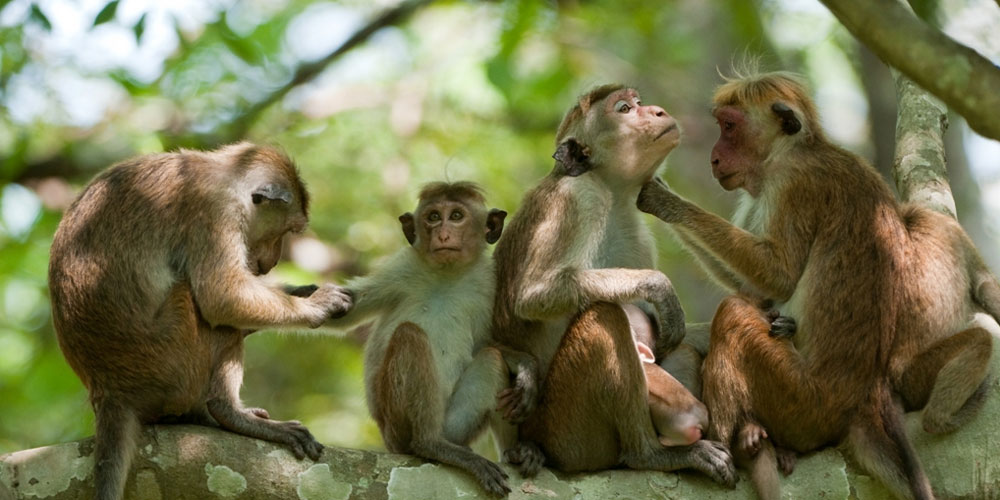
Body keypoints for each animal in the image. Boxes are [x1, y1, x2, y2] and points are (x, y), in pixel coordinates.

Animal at [47, 142, 353, 500]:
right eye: (286, 230)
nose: (272, 261)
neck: (223, 174)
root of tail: (109, 391)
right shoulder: (214, 214)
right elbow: (222, 297)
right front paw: (316, 305)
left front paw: (299, 292)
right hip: (172, 362)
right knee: (203, 307)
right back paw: (227, 412)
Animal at [323, 181, 535, 496]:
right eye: (433, 217)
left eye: (456, 215)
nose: (443, 234)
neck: (447, 274)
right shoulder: (400, 268)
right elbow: (343, 311)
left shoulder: (489, 282)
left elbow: (486, 344)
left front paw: (526, 368)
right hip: (396, 428)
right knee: (409, 335)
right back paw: (429, 444)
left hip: (455, 426)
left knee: (491, 360)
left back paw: (513, 453)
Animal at [491, 84, 736, 487]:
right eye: (624, 109)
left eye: (639, 103)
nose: (657, 111)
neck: (610, 191)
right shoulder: (575, 200)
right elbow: (534, 295)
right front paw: (659, 287)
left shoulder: (635, 231)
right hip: (567, 433)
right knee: (603, 318)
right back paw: (649, 455)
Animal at [637, 71, 1000, 500]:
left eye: (729, 126)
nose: (714, 157)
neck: (794, 150)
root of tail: (862, 400)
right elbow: (756, 289)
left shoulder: (793, 183)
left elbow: (777, 276)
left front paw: (665, 201)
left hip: (804, 401)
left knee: (735, 315)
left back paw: (731, 443)